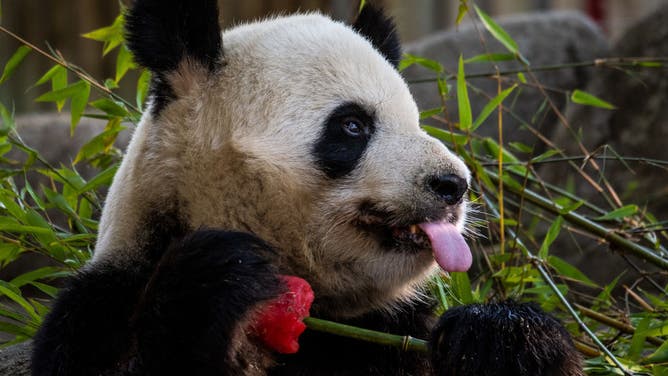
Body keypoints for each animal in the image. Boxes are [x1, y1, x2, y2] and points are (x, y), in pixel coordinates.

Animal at [32, 0, 584, 376]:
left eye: (415, 120)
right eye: (353, 126)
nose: (455, 185)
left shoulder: (392, 328)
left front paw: (503, 337)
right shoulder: (103, 305)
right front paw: (219, 275)